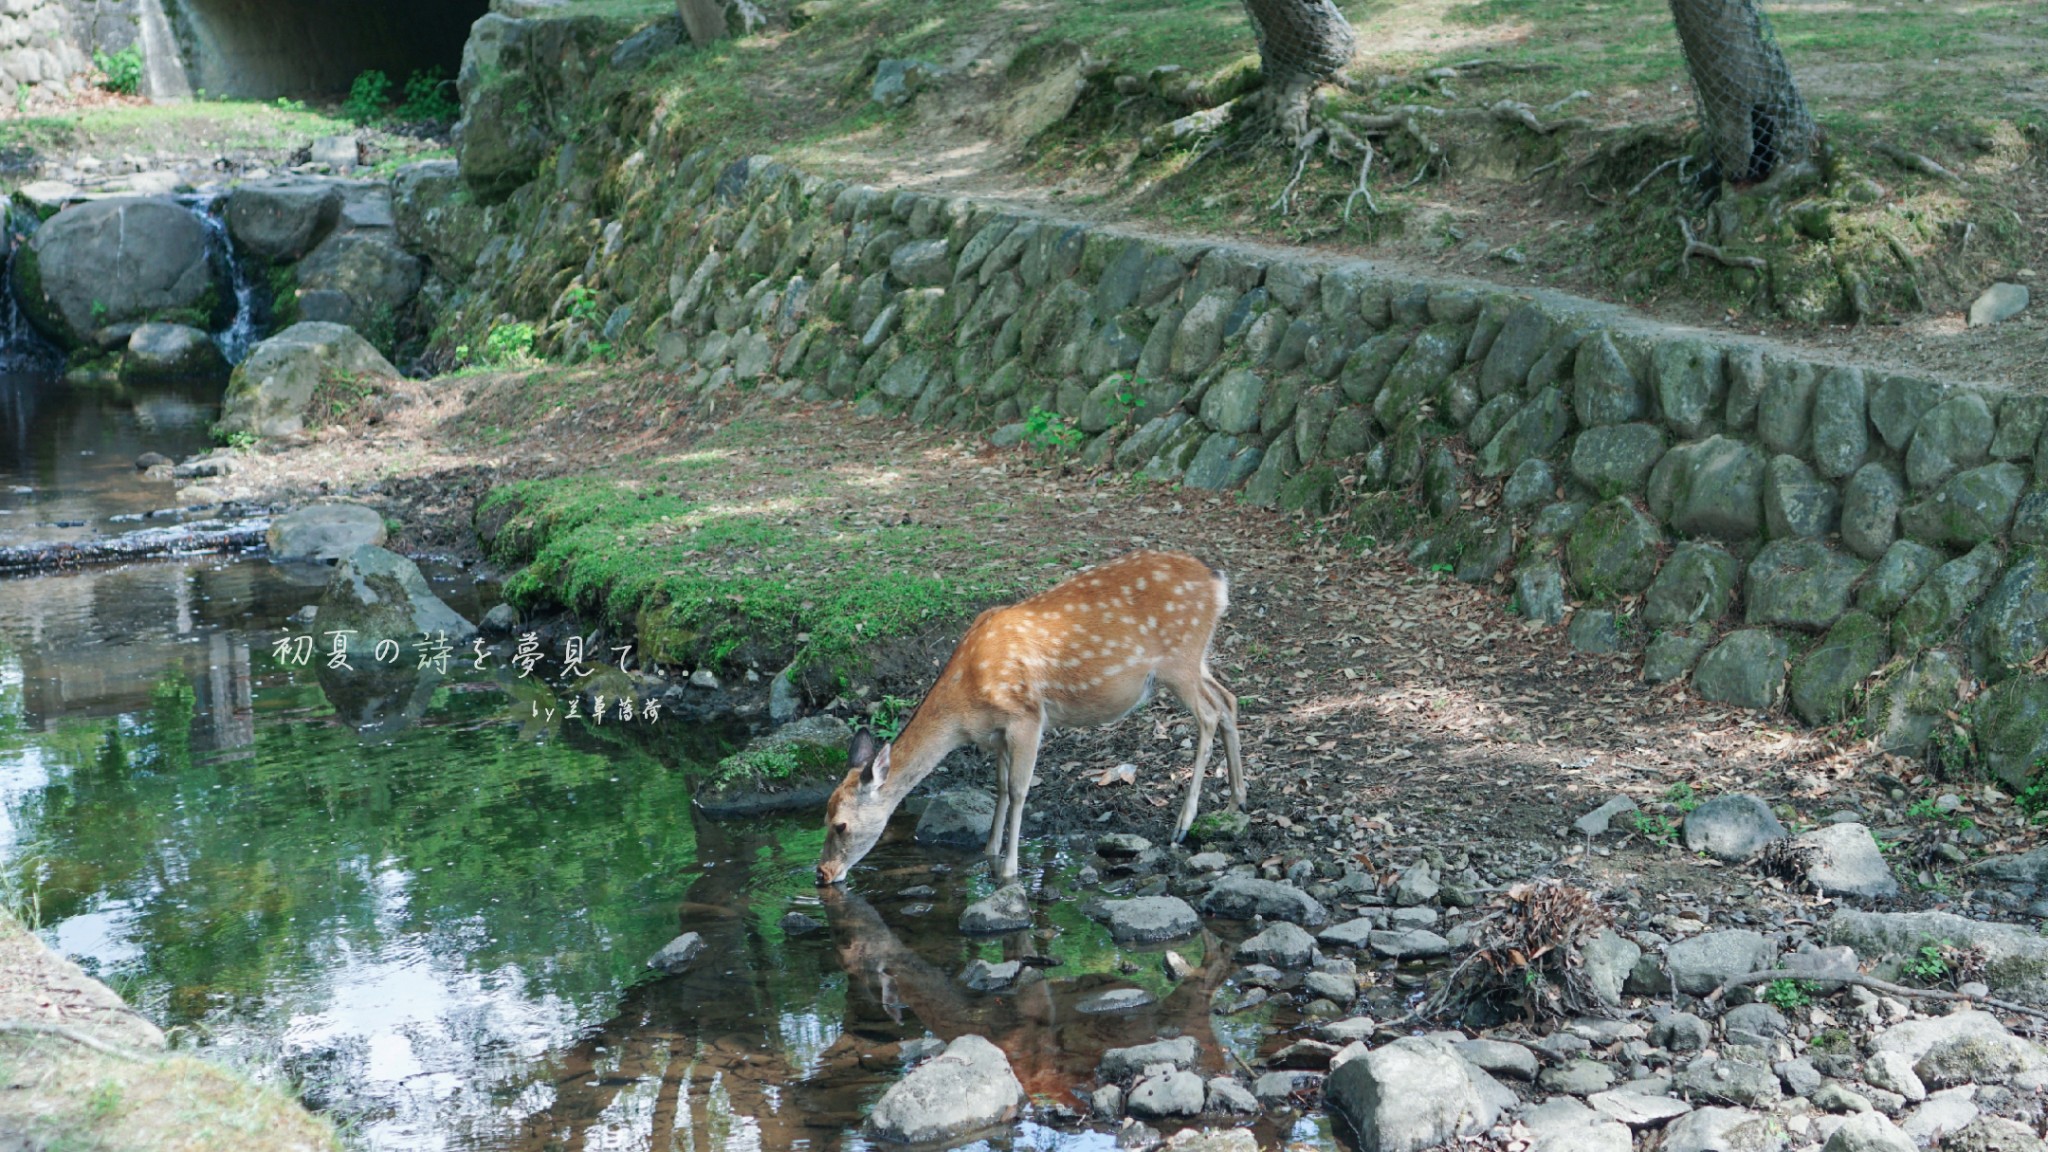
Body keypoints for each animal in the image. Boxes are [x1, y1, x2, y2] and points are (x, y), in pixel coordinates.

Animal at [819, 545, 1245, 877]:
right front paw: (989, 854)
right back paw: (1236, 802)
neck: (965, 705)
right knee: (1228, 700)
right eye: (823, 816)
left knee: (1208, 714)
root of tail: (1218, 582)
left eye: (840, 825)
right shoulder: (997, 733)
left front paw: (1009, 870)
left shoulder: (1025, 716)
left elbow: (1020, 790)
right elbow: (1000, 787)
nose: (822, 873)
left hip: (1178, 660)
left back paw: (1182, 826)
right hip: (1196, 660)